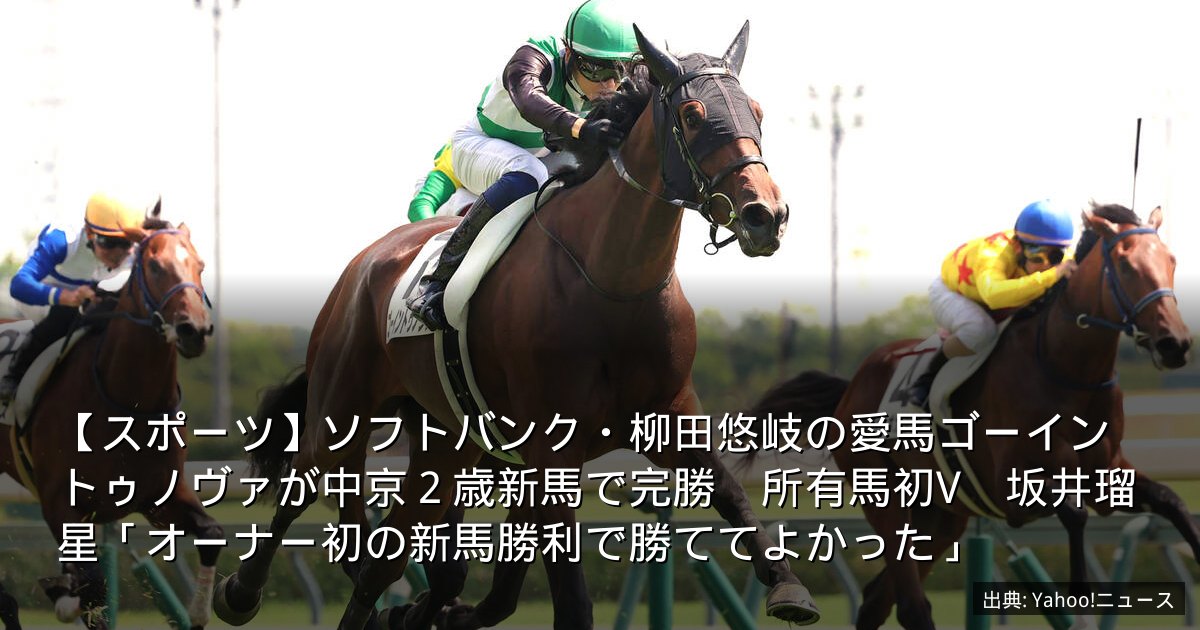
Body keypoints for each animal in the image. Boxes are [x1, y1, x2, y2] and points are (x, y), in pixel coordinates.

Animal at [0, 210, 224, 630]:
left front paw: (203, 609)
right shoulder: (60, 503)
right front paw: (63, 595)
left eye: (201, 265)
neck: (128, 403)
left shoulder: (159, 497)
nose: (195, 330)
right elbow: (91, 585)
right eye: (155, 266)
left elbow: (212, 533)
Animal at [212, 22, 822, 630]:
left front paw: (788, 586)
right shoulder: (550, 446)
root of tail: (368, 260)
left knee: (384, 557)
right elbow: (567, 597)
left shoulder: (668, 414)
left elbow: (731, 493)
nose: (765, 216)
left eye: (757, 112)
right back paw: (241, 591)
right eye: (693, 115)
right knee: (304, 482)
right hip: (342, 406)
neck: (613, 284)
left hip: (445, 442)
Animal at [747, 203, 1194, 630]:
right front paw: (1081, 613)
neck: (1066, 370)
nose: (1175, 344)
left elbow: (1170, 500)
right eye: (1126, 265)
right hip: (885, 498)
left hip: (939, 517)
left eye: (1171, 259)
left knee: (877, 601)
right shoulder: (1014, 487)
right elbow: (1074, 512)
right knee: (910, 606)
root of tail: (851, 387)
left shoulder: (1108, 476)